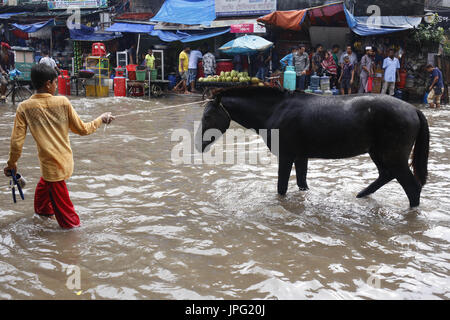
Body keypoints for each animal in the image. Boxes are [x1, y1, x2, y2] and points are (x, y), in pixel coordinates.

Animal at [197, 87, 428, 208]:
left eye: (207, 116)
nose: (199, 144)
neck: (276, 110)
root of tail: (413, 109)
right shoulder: (301, 156)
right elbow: (302, 183)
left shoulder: (286, 156)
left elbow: (282, 187)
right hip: (378, 153)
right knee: (386, 175)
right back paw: (362, 194)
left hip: (393, 156)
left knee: (412, 187)